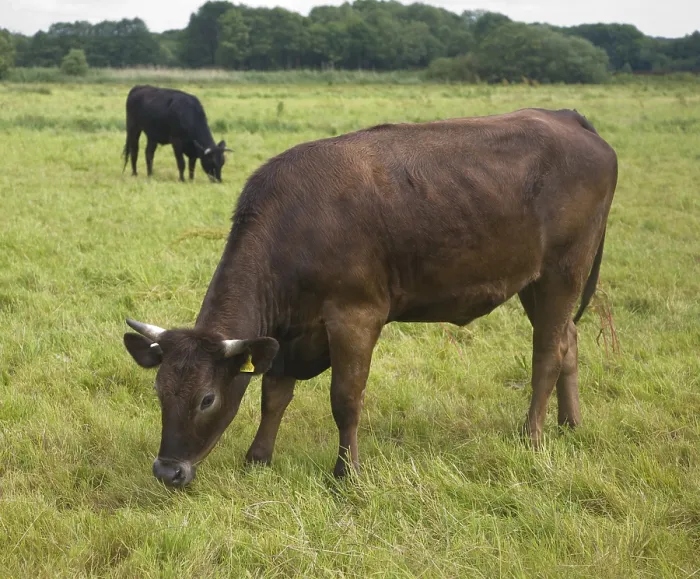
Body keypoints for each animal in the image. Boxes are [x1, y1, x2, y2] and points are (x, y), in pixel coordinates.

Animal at [123, 108, 618, 488]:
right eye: (159, 389)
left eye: (206, 398)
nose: (167, 471)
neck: (296, 224)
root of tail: (566, 117)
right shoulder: (288, 334)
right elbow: (273, 395)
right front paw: (258, 459)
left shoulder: (355, 316)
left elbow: (345, 399)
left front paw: (347, 472)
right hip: (537, 281)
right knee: (568, 340)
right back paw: (570, 423)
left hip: (562, 272)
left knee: (547, 354)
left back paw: (532, 435)